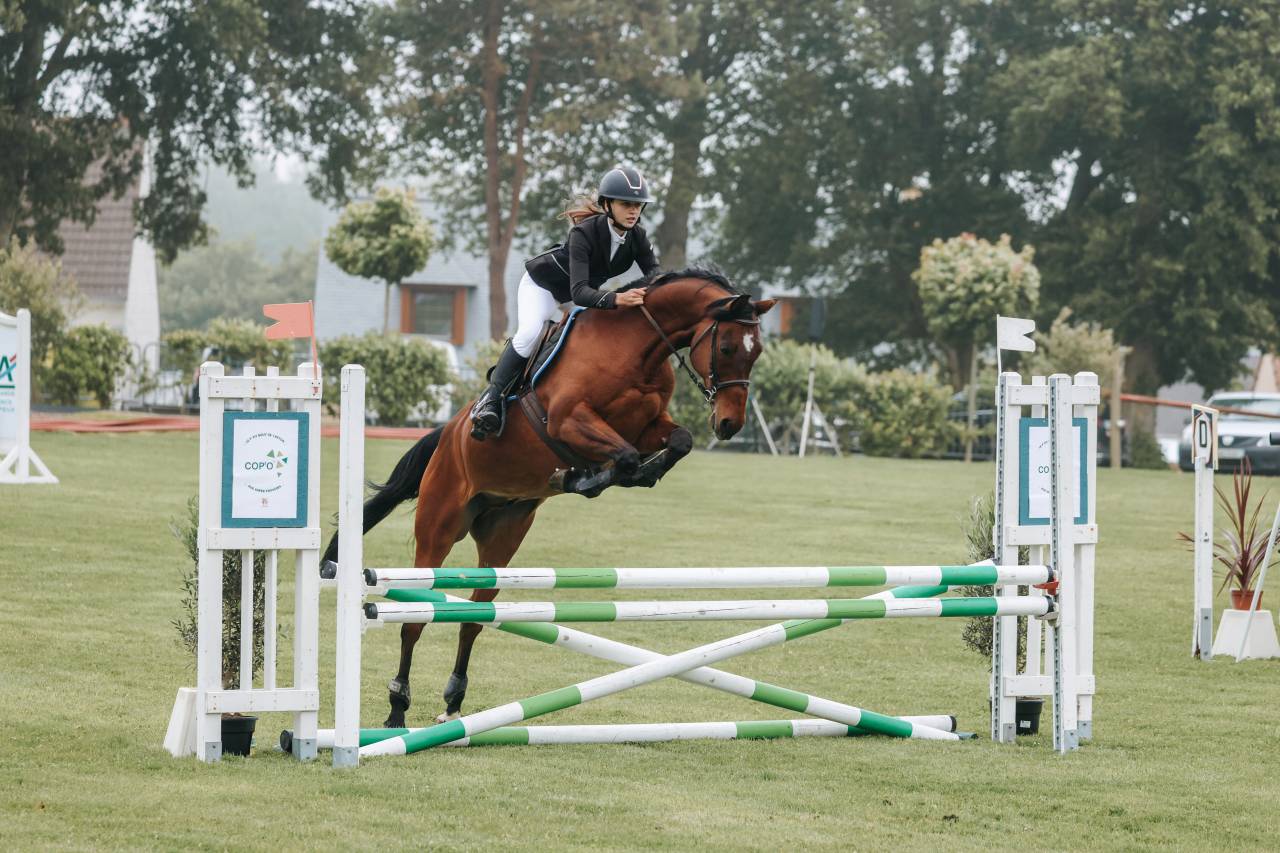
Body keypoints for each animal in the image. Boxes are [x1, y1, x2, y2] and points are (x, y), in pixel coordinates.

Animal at [321, 267, 775, 727]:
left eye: (755, 353)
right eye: (727, 346)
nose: (729, 424)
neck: (636, 350)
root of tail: (448, 433)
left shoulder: (646, 426)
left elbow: (677, 441)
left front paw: (617, 475)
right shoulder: (569, 420)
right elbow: (624, 456)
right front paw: (588, 478)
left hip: (503, 537)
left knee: (475, 619)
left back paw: (453, 701)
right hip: (439, 526)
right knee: (414, 620)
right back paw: (397, 707)